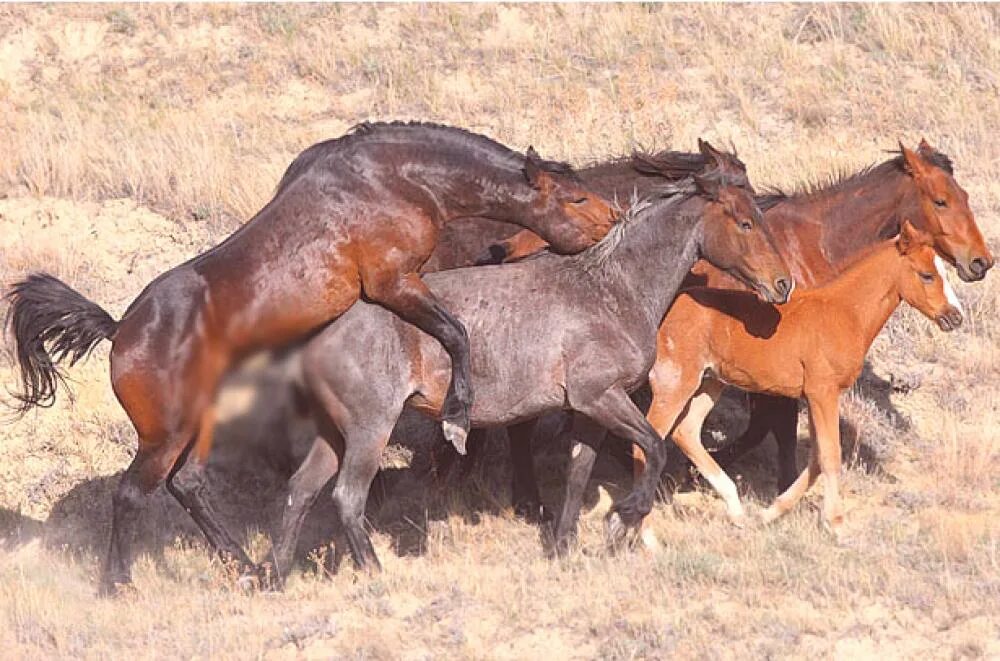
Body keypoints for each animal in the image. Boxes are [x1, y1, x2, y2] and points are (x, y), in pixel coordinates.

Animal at [3, 121, 612, 596]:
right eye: (575, 198)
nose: (614, 218)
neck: (398, 179)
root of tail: (119, 332)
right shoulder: (396, 283)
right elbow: (457, 334)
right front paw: (458, 419)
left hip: (197, 424)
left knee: (188, 486)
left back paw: (248, 568)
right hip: (166, 433)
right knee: (132, 494)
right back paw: (118, 584)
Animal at [632, 222, 960, 536]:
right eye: (927, 275)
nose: (956, 317)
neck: (844, 313)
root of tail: (662, 312)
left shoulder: (814, 396)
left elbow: (816, 458)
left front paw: (771, 512)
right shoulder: (823, 393)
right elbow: (830, 455)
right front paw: (837, 524)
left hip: (711, 382)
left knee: (685, 431)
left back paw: (736, 510)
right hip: (675, 384)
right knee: (646, 445)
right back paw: (645, 534)